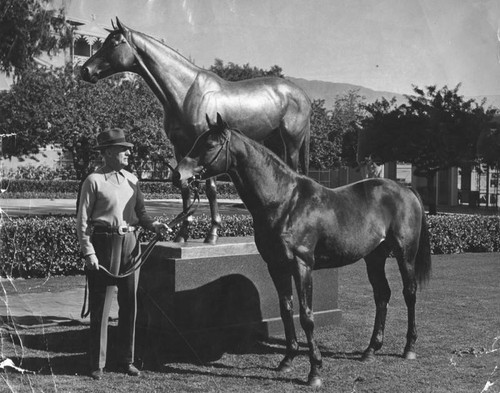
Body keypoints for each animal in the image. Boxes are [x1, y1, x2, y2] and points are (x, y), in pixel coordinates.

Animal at [80, 19, 310, 243]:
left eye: (114, 43)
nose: (85, 70)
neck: (185, 92)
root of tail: (303, 95)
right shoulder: (181, 149)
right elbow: (184, 188)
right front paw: (182, 234)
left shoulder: (210, 150)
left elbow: (211, 189)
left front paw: (213, 233)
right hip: (274, 142)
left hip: (291, 143)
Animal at [174, 113, 432, 386]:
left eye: (209, 145)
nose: (178, 175)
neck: (285, 201)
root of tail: (405, 189)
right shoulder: (276, 265)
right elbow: (286, 310)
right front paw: (287, 360)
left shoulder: (302, 265)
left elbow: (306, 316)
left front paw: (315, 371)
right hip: (374, 257)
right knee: (382, 295)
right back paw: (370, 350)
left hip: (405, 254)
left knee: (409, 293)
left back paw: (409, 348)